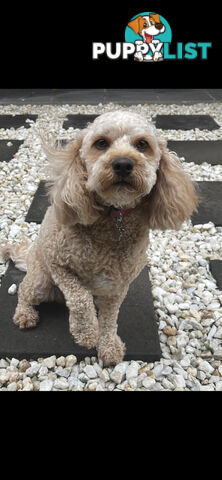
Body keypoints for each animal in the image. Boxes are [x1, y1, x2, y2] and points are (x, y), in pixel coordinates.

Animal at [1, 110, 199, 366]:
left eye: (142, 144)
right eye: (101, 143)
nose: (123, 163)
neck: (114, 218)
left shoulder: (118, 285)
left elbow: (109, 317)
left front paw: (109, 345)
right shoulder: (58, 265)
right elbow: (80, 299)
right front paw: (86, 333)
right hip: (41, 281)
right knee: (24, 291)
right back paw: (25, 314)